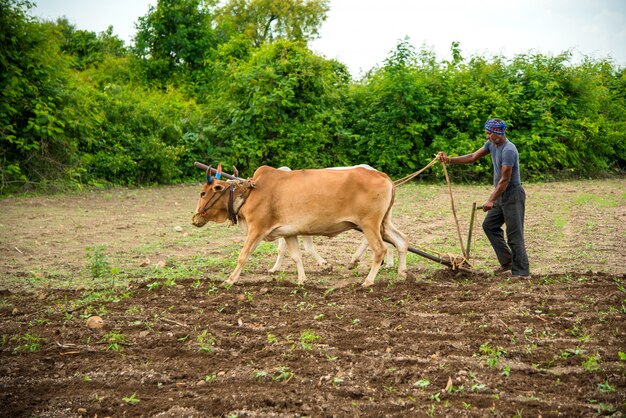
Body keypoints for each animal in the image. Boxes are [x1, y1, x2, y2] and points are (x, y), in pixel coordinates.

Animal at [190, 164, 408, 288]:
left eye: (203, 193)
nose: (194, 218)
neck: (249, 193)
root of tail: (383, 176)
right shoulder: (289, 233)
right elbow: (296, 256)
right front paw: (302, 280)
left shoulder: (256, 230)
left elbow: (243, 256)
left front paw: (229, 280)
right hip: (383, 224)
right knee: (402, 241)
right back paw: (402, 273)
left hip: (369, 224)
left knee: (380, 250)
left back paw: (368, 281)